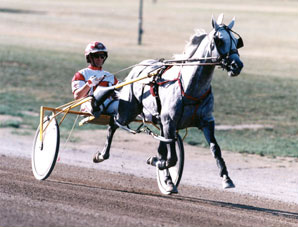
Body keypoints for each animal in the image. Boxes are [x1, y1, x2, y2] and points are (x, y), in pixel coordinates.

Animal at [93, 14, 244, 193]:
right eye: (219, 40)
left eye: (237, 41)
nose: (237, 65)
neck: (190, 88)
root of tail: (138, 68)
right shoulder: (169, 122)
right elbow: (171, 158)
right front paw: (156, 162)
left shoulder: (206, 122)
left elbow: (215, 149)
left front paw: (226, 178)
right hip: (127, 111)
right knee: (113, 124)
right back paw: (101, 155)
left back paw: (168, 180)